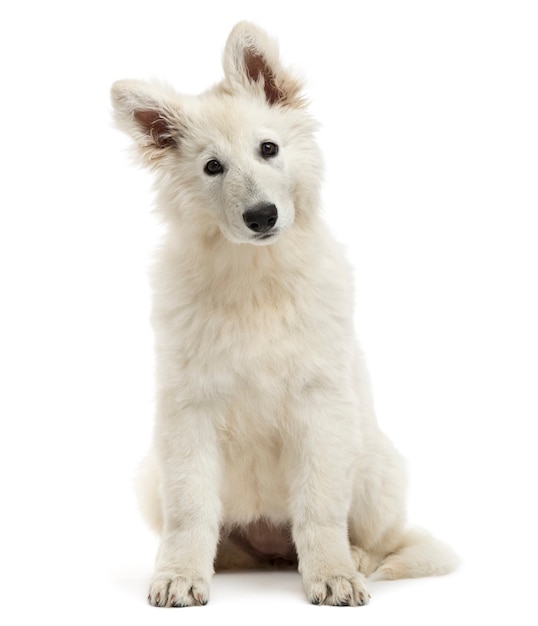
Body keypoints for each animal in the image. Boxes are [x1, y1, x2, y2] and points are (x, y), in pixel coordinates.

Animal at [110, 20, 456, 604]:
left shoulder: (321, 403)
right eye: (212, 167)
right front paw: (179, 574)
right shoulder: (188, 409)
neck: (256, 276)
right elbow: (190, 509)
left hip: (375, 467)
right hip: (149, 478)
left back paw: (358, 557)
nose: (261, 216)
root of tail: (272, 547)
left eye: (268, 148)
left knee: (387, 540)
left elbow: (320, 507)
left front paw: (333, 574)